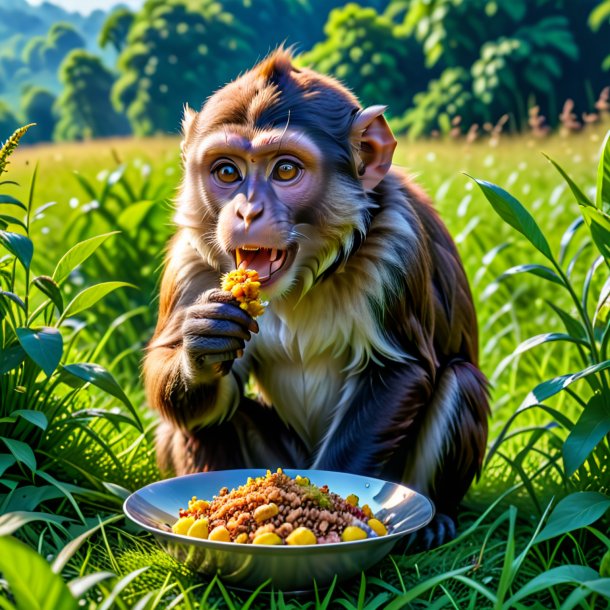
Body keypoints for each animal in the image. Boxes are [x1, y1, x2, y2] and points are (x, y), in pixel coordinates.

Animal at [141, 46, 484, 540]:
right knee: (195, 420)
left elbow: (401, 370)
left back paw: (433, 520)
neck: (304, 279)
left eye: (285, 169)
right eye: (227, 171)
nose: (247, 212)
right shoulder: (190, 261)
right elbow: (170, 372)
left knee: (461, 380)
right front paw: (201, 343)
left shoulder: (398, 247)